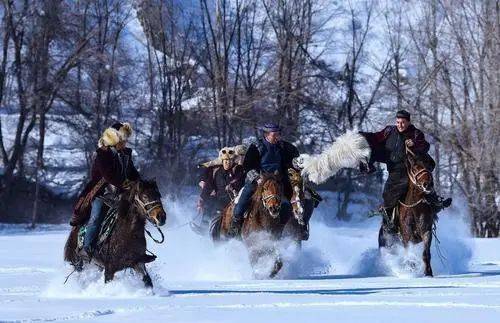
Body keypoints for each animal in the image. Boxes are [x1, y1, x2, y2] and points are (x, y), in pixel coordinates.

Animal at [380, 148, 436, 278]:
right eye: (415, 168)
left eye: (429, 166)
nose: (428, 184)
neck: (415, 209)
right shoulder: (406, 235)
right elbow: (409, 254)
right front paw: (411, 270)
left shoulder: (426, 232)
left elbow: (426, 253)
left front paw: (428, 273)